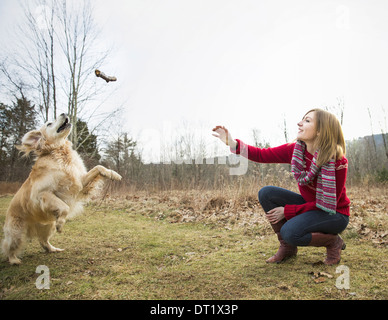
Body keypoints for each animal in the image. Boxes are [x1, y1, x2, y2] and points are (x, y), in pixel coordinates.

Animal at [1, 114, 121, 264]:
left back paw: (53, 249)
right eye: (49, 124)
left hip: (48, 227)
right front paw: (62, 222)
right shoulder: (41, 194)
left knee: (43, 241)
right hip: (16, 233)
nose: (64, 114)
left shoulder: (79, 182)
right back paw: (14, 260)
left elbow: (98, 167)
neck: (58, 152)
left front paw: (113, 174)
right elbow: (65, 207)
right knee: (8, 247)